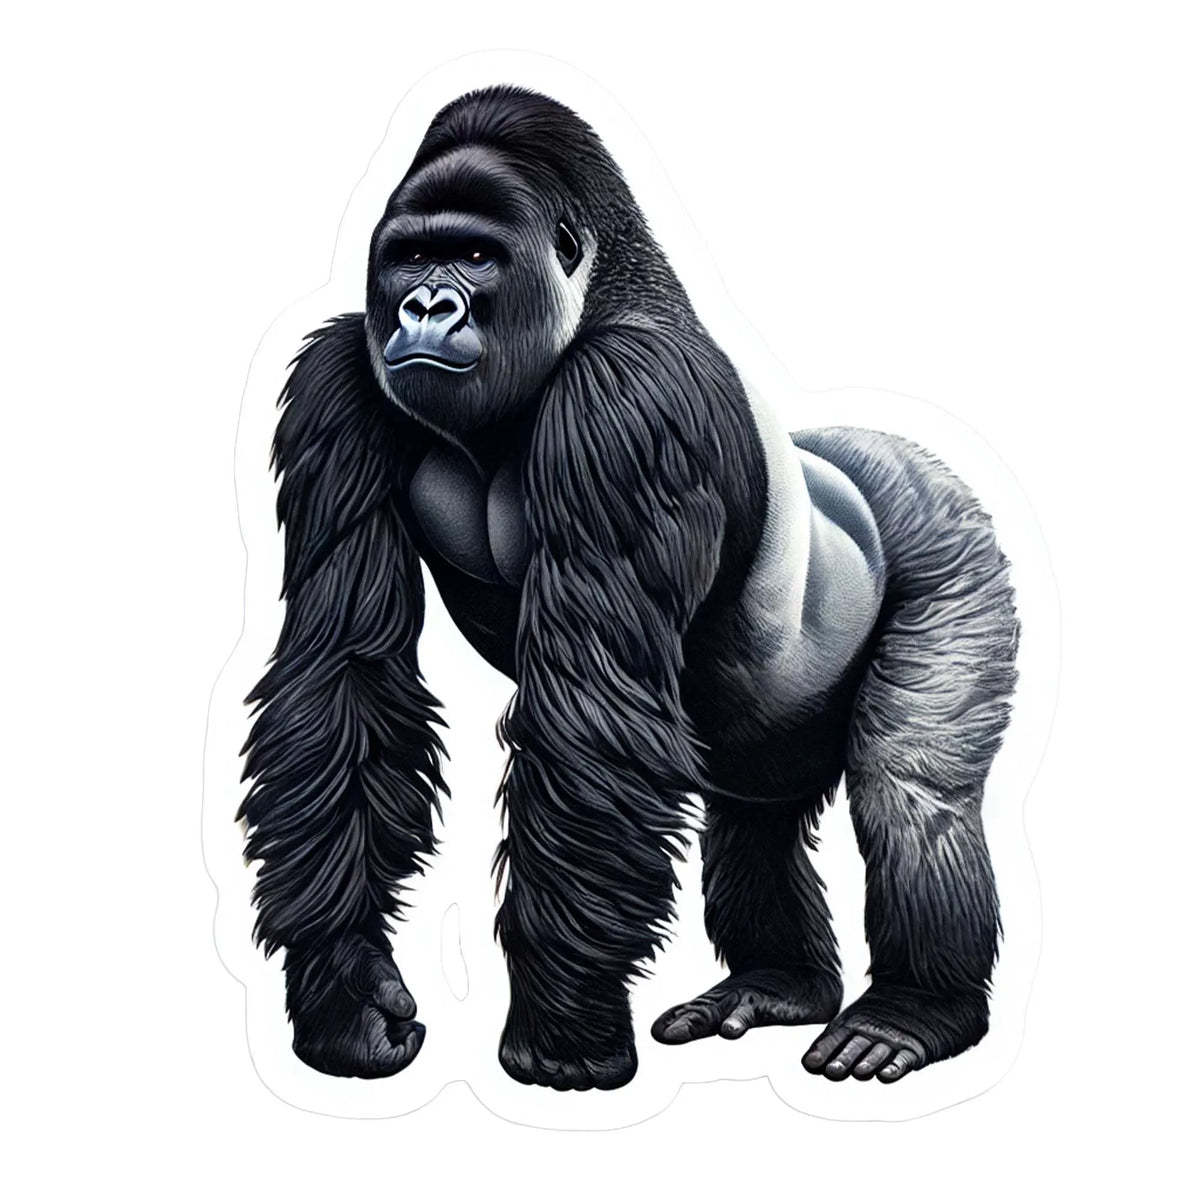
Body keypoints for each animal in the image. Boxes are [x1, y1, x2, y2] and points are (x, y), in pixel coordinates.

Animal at [239, 86, 1018, 1091]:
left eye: (476, 256)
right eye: (410, 255)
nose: (425, 304)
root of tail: (869, 451)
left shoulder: (631, 403)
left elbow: (590, 716)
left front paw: (562, 1031)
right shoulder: (335, 386)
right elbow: (343, 668)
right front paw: (345, 986)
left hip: (947, 533)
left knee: (912, 793)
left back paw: (917, 1007)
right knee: (755, 821)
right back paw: (779, 983)